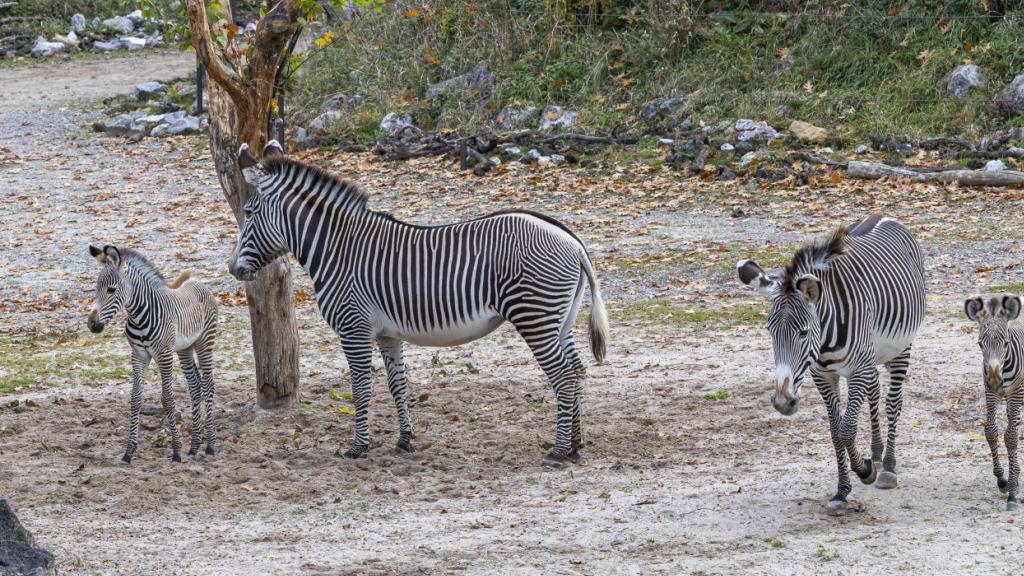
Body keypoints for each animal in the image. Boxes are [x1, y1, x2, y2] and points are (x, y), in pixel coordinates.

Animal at [87, 244, 219, 464]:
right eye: (96, 289)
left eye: (111, 289)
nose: (91, 325)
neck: (138, 317)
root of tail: (197, 280)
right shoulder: (138, 356)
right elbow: (136, 398)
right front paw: (129, 452)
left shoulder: (164, 355)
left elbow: (167, 399)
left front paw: (176, 451)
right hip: (185, 349)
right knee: (195, 387)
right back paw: (194, 447)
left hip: (204, 342)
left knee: (208, 384)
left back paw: (209, 445)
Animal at [228, 141, 609, 467]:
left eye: (248, 212)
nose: (233, 269)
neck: (338, 249)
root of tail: (572, 240)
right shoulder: (387, 334)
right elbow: (397, 384)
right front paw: (404, 440)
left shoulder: (354, 329)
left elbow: (361, 389)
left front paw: (358, 447)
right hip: (559, 319)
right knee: (576, 370)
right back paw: (575, 446)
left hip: (535, 316)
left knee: (563, 376)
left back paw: (558, 451)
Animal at [736, 215, 926, 515]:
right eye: (769, 331)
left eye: (803, 332)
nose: (783, 402)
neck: (823, 341)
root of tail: (884, 217)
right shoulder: (823, 375)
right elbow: (836, 432)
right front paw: (842, 490)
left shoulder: (857, 369)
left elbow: (847, 429)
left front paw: (865, 471)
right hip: (871, 356)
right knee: (874, 392)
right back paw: (876, 453)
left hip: (901, 346)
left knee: (893, 401)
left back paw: (888, 467)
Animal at [965, 295, 1023, 511]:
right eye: (980, 344)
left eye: (1006, 343)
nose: (994, 379)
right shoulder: (991, 392)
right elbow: (991, 431)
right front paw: (1003, 480)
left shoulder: (1015, 392)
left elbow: (1011, 437)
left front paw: (1013, 492)